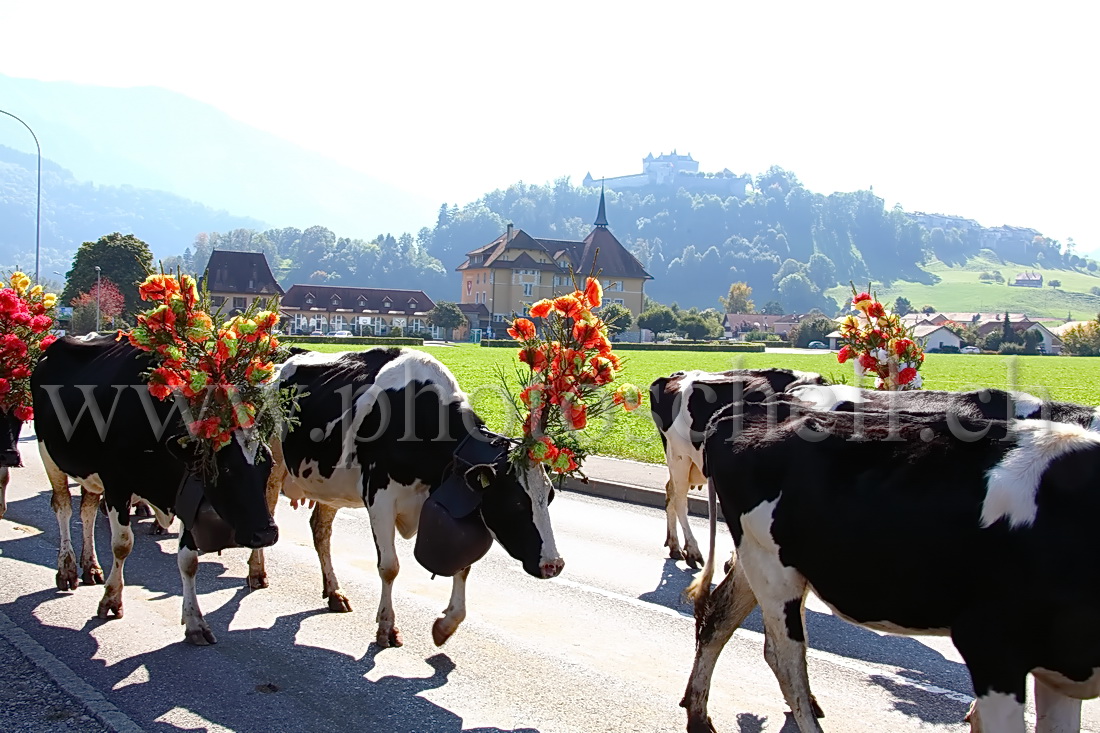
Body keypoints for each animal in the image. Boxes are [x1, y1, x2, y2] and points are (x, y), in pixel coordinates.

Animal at [33, 334, 279, 642]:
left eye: (267, 465)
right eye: (225, 469)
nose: (266, 533)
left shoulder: (185, 494)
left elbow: (189, 560)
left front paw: (195, 622)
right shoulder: (117, 484)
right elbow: (122, 544)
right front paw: (111, 600)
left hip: (88, 472)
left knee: (87, 511)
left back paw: (90, 566)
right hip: (49, 455)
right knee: (63, 508)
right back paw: (66, 570)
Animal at [246, 347, 563, 647]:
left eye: (549, 496)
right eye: (515, 501)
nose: (554, 565)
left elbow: (462, 566)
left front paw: (446, 626)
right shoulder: (379, 498)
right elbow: (390, 567)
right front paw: (387, 628)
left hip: (329, 484)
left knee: (320, 532)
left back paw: (334, 591)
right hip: (272, 459)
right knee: (268, 515)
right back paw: (257, 572)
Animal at [642, 367, 827, 567]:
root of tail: (676, 375)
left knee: (670, 491)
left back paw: (674, 545)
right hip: (680, 456)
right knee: (680, 501)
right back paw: (692, 550)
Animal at [682, 396, 1100, 730]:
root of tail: (748, 408)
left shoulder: (1059, 664)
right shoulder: (990, 642)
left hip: (766, 559)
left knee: (719, 618)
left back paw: (698, 713)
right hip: (771, 566)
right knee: (784, 657)